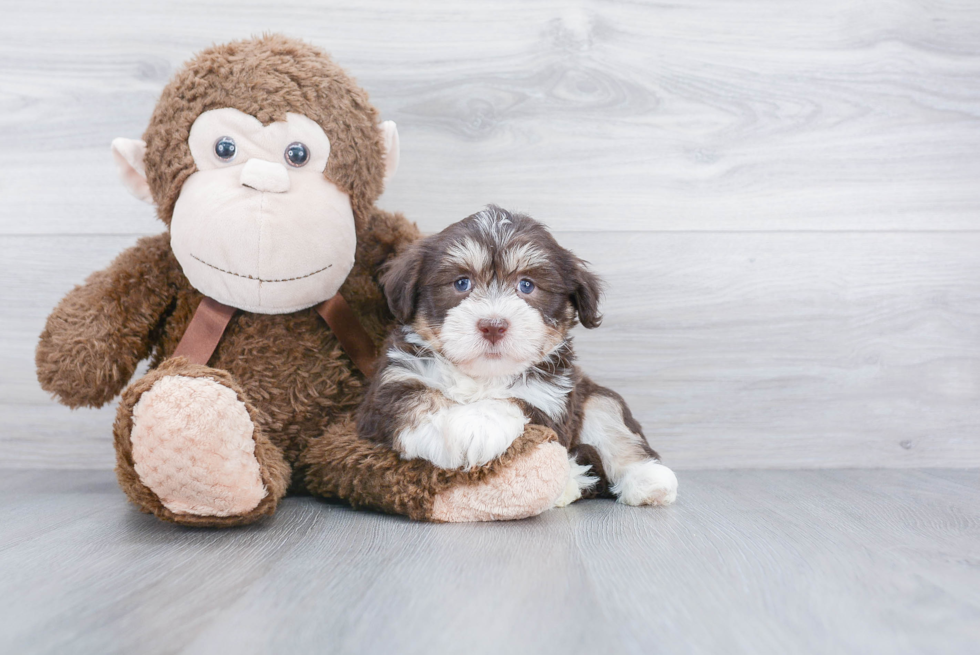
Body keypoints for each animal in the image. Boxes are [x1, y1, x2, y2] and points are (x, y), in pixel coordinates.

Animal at [356, 205, 676, 508]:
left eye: (526, 285)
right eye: (461, 283)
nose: (493, 326)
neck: (482, 375)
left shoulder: (551, 399)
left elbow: (515, 402)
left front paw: (479, 423)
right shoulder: (389, 386)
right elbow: (416, 397)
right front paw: (465, 426)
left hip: (593, 395)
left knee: (608, 417)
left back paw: (648, 481)